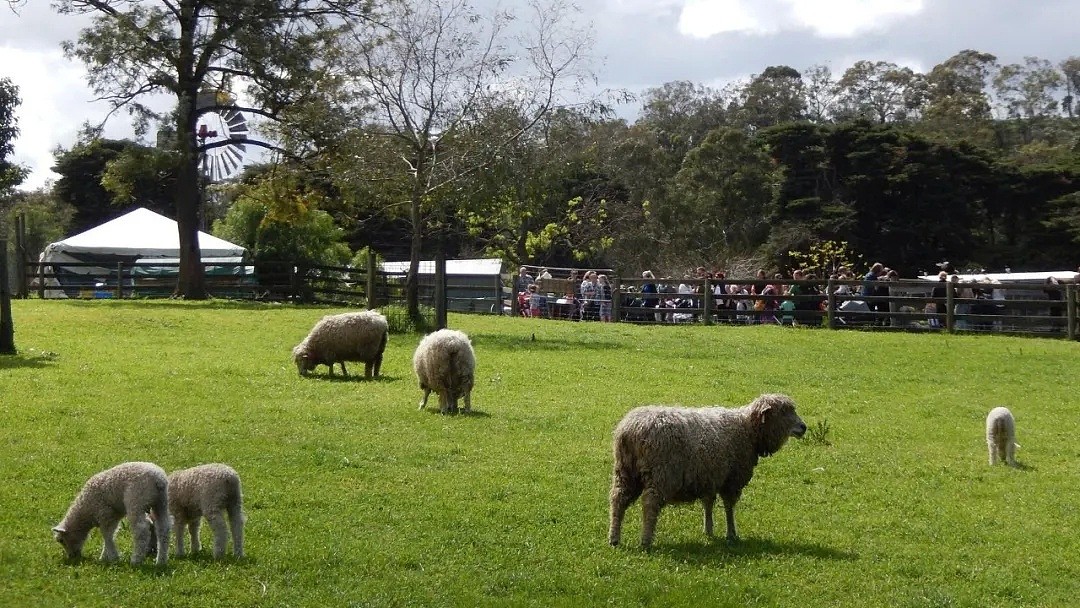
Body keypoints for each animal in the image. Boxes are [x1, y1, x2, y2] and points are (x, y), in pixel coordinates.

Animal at [604, 393, 807, 548]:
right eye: (783, 412)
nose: (803, 427)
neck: (747, 429)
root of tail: (630, 430)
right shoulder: (731, 480)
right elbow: (729, 507)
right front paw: (731, 534)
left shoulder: (709, 477)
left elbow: (708, 503)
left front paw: (708, 530)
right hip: (662, 474)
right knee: (650, 504)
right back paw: (646, 540)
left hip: (625, 471)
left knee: (617, 499)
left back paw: (614, 538)